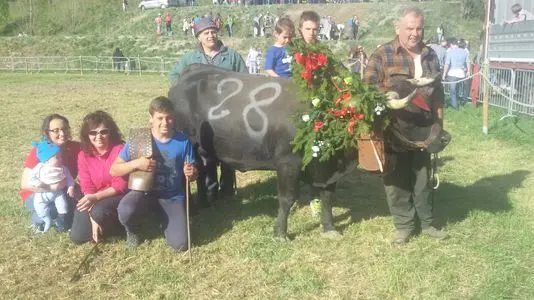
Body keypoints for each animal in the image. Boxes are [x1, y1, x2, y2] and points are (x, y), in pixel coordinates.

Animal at [169, 63, 452, 239]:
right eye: (411, 116)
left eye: (429, 107)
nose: (446, 137)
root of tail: (190, 72)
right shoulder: (287, 164)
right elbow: (286, 200)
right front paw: (281, 232)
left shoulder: (327, 171)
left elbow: (326, 199)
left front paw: (328, 228)